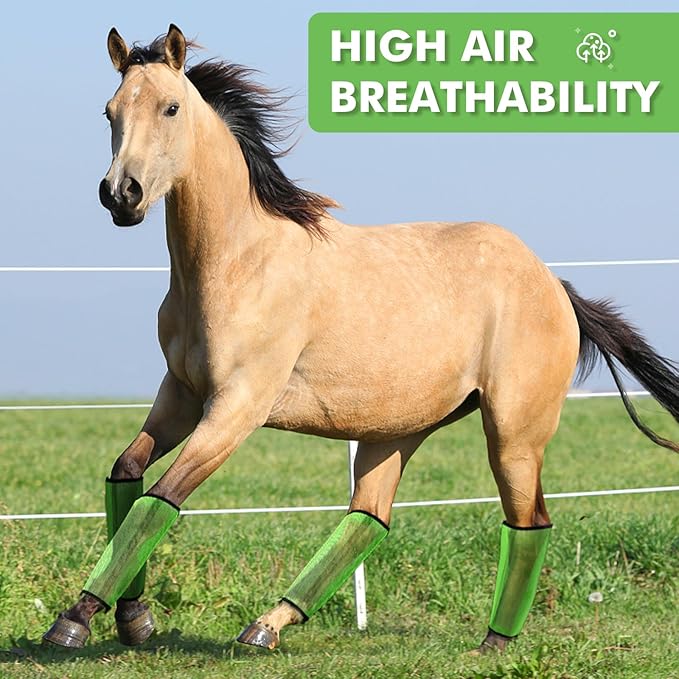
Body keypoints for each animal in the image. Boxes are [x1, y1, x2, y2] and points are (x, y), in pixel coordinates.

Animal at [43, 25, 679, 653]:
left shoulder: (236, 408)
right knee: (370, 518)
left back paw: (493, 644)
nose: (121, 194)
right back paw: (267, 626)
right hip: (396, 431)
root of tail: (553, 284)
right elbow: (128, 475)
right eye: (110, 112)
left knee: (529, 522)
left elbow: (161, 499)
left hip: (513, 432)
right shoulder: (180, 395)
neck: (236, 263)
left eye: (171, 107)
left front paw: (75, 619)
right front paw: (133, 617)